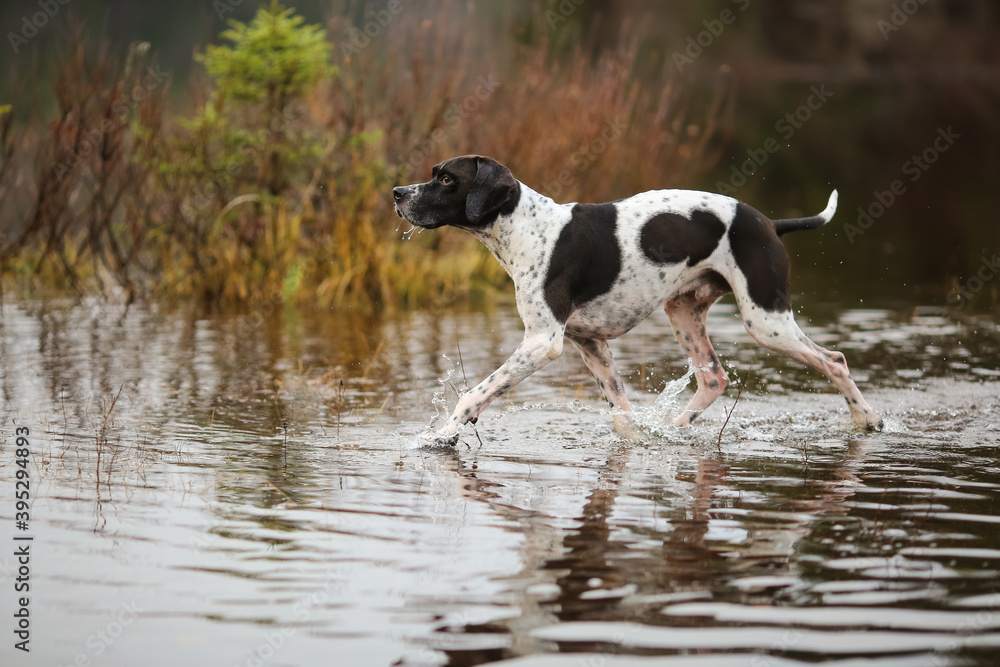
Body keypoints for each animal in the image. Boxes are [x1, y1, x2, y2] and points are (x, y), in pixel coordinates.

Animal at [392, 153, 884, 444]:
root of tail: (770, 223)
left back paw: (869, 421)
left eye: (446, 178)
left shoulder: (542, 343)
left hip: (766, 320)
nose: (397, 193)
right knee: (714, 378)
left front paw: (443, 435)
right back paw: (675, 429)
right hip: (683, 312)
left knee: (835, 361)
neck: (527, 228)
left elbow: (473, 393)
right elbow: (622, 416)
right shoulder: (589, 343)